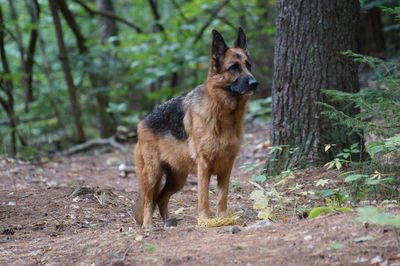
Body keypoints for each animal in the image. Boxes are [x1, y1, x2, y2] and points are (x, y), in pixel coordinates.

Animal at [135, 27, 260, 228]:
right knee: (149, 200)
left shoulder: (227, 166)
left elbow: (222, 197)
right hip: (153, 174)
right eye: (234, 67)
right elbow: (204, 197)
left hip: (178, 179)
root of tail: (142, 122)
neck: (223, 113)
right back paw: (148, 226)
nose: (254, 83)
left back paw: (168, 222)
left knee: (161, 198)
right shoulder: (204, 165)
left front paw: (222, 218)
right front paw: (205, 220)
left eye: (249, 65)